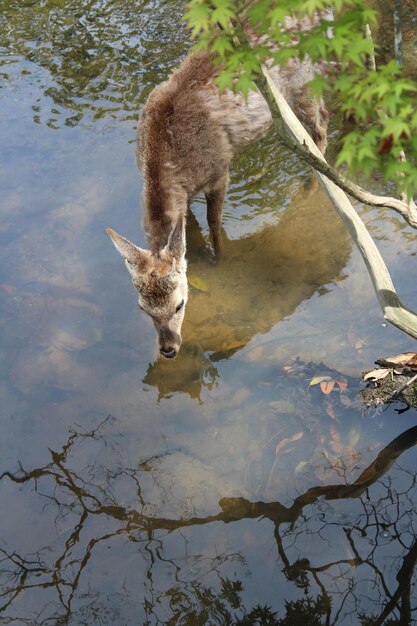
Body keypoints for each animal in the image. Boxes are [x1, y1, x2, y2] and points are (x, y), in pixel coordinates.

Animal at [105, 50, 326, 360]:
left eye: (180, 304)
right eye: (143, 308)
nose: (169, 349)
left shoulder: (220, 170)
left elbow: (214, 222)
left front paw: (222, 261)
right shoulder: (185, 197)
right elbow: (187, 233)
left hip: (304, 85)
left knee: (318, 134)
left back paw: (312, 188)